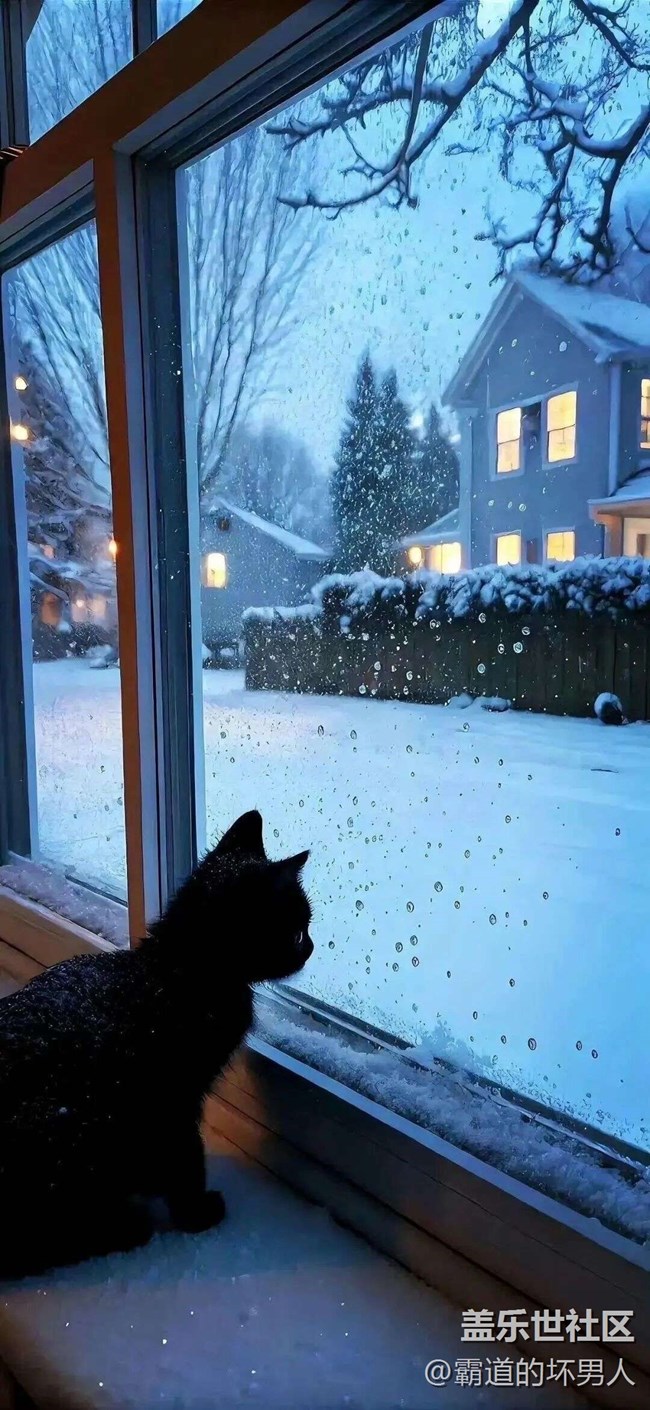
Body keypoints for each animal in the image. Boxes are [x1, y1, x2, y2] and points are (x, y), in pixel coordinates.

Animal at [0, 809, 313, 1277]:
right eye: (297, 932)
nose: (312, 946)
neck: (180, 971)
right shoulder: (172, 1095)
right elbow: (187, 1155)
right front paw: (197, 1214)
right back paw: (124, 1228)